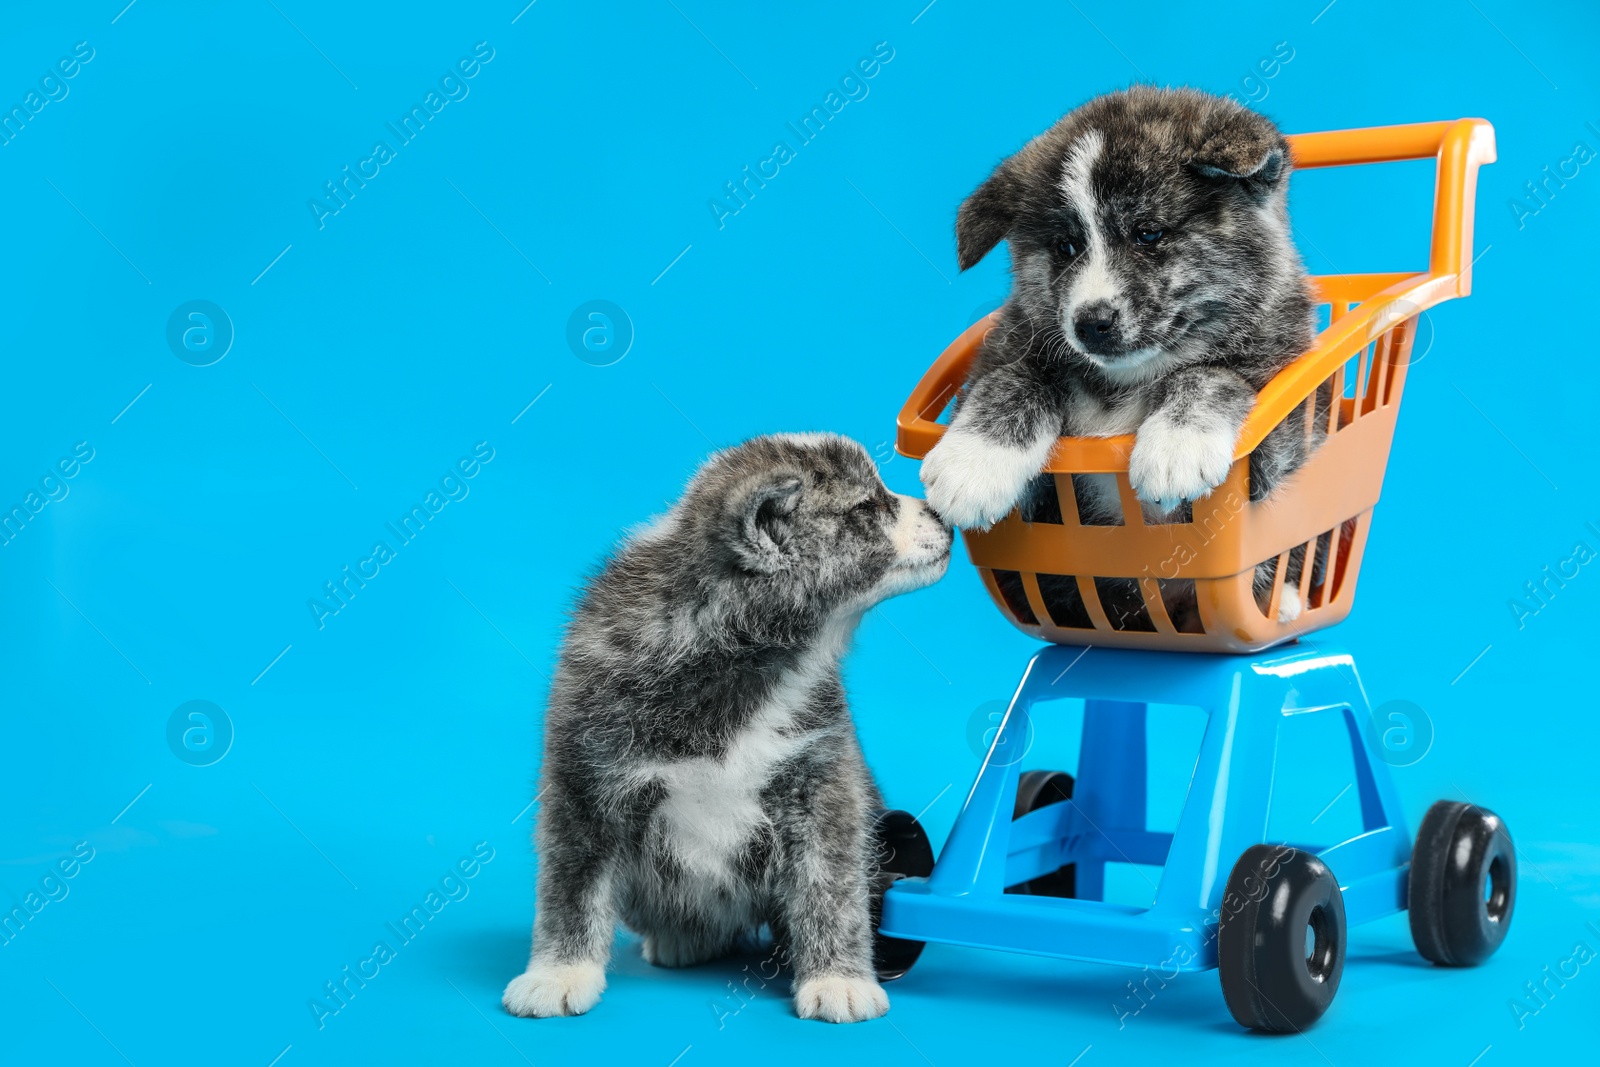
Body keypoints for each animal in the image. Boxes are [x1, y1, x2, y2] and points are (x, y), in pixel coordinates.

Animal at [499, 435, 947, 1023]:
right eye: (866, 508)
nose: (944, 514)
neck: (737, 653)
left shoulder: (822, 780)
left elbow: (830, 883)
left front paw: (838, 978)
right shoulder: (586, 775)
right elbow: (572, 883)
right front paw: (558, 972)